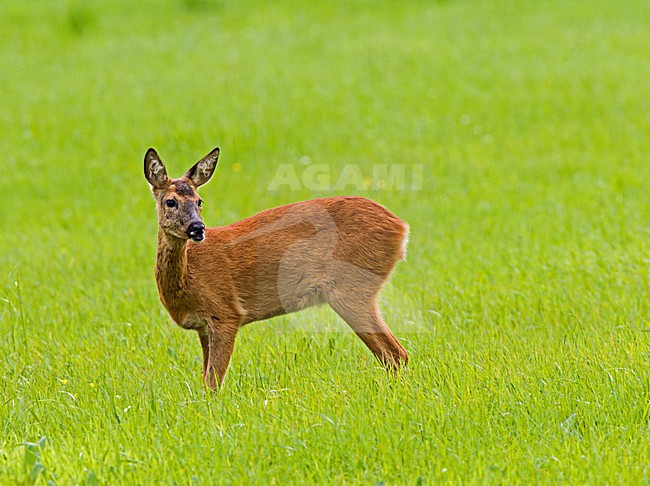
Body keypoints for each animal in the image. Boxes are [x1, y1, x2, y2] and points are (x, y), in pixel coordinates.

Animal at [144, 147, 409, 389]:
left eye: (199, 202)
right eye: (170, 202)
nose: (198, 228)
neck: (189, 278)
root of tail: (401, 228)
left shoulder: (226, 313)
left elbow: (212, 383)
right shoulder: (203, 328)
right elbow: (205, 380)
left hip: (352, 287)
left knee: (396, 354)